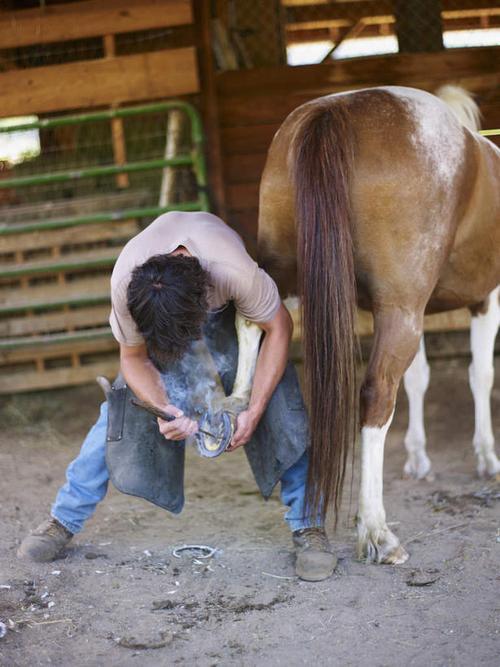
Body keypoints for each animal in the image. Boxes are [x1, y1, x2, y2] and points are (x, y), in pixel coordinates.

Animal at [256, 82, 498, 564]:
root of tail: (336, 109)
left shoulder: (421, 308)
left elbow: (420, 380)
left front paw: (420, 459)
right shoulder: (481, 299)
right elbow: (480, 374)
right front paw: (487, 457)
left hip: (289, 282)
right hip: (399, 310)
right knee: (376, 396)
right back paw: (376, 531)